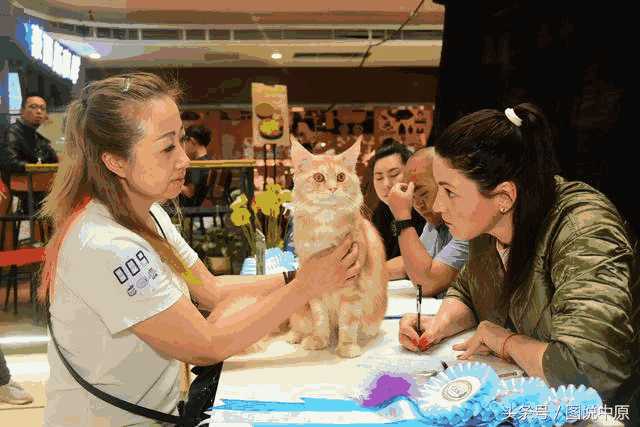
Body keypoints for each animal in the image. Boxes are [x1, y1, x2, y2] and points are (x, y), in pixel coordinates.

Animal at [288, 136, 388, 358]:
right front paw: (319, 340)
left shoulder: (352, 288)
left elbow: (348, 323)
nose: (333, 188)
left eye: (341, 177)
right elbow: (320, 320)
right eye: (318, 177)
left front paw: (347, 347)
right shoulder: (314, 287)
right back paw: (295, 336)